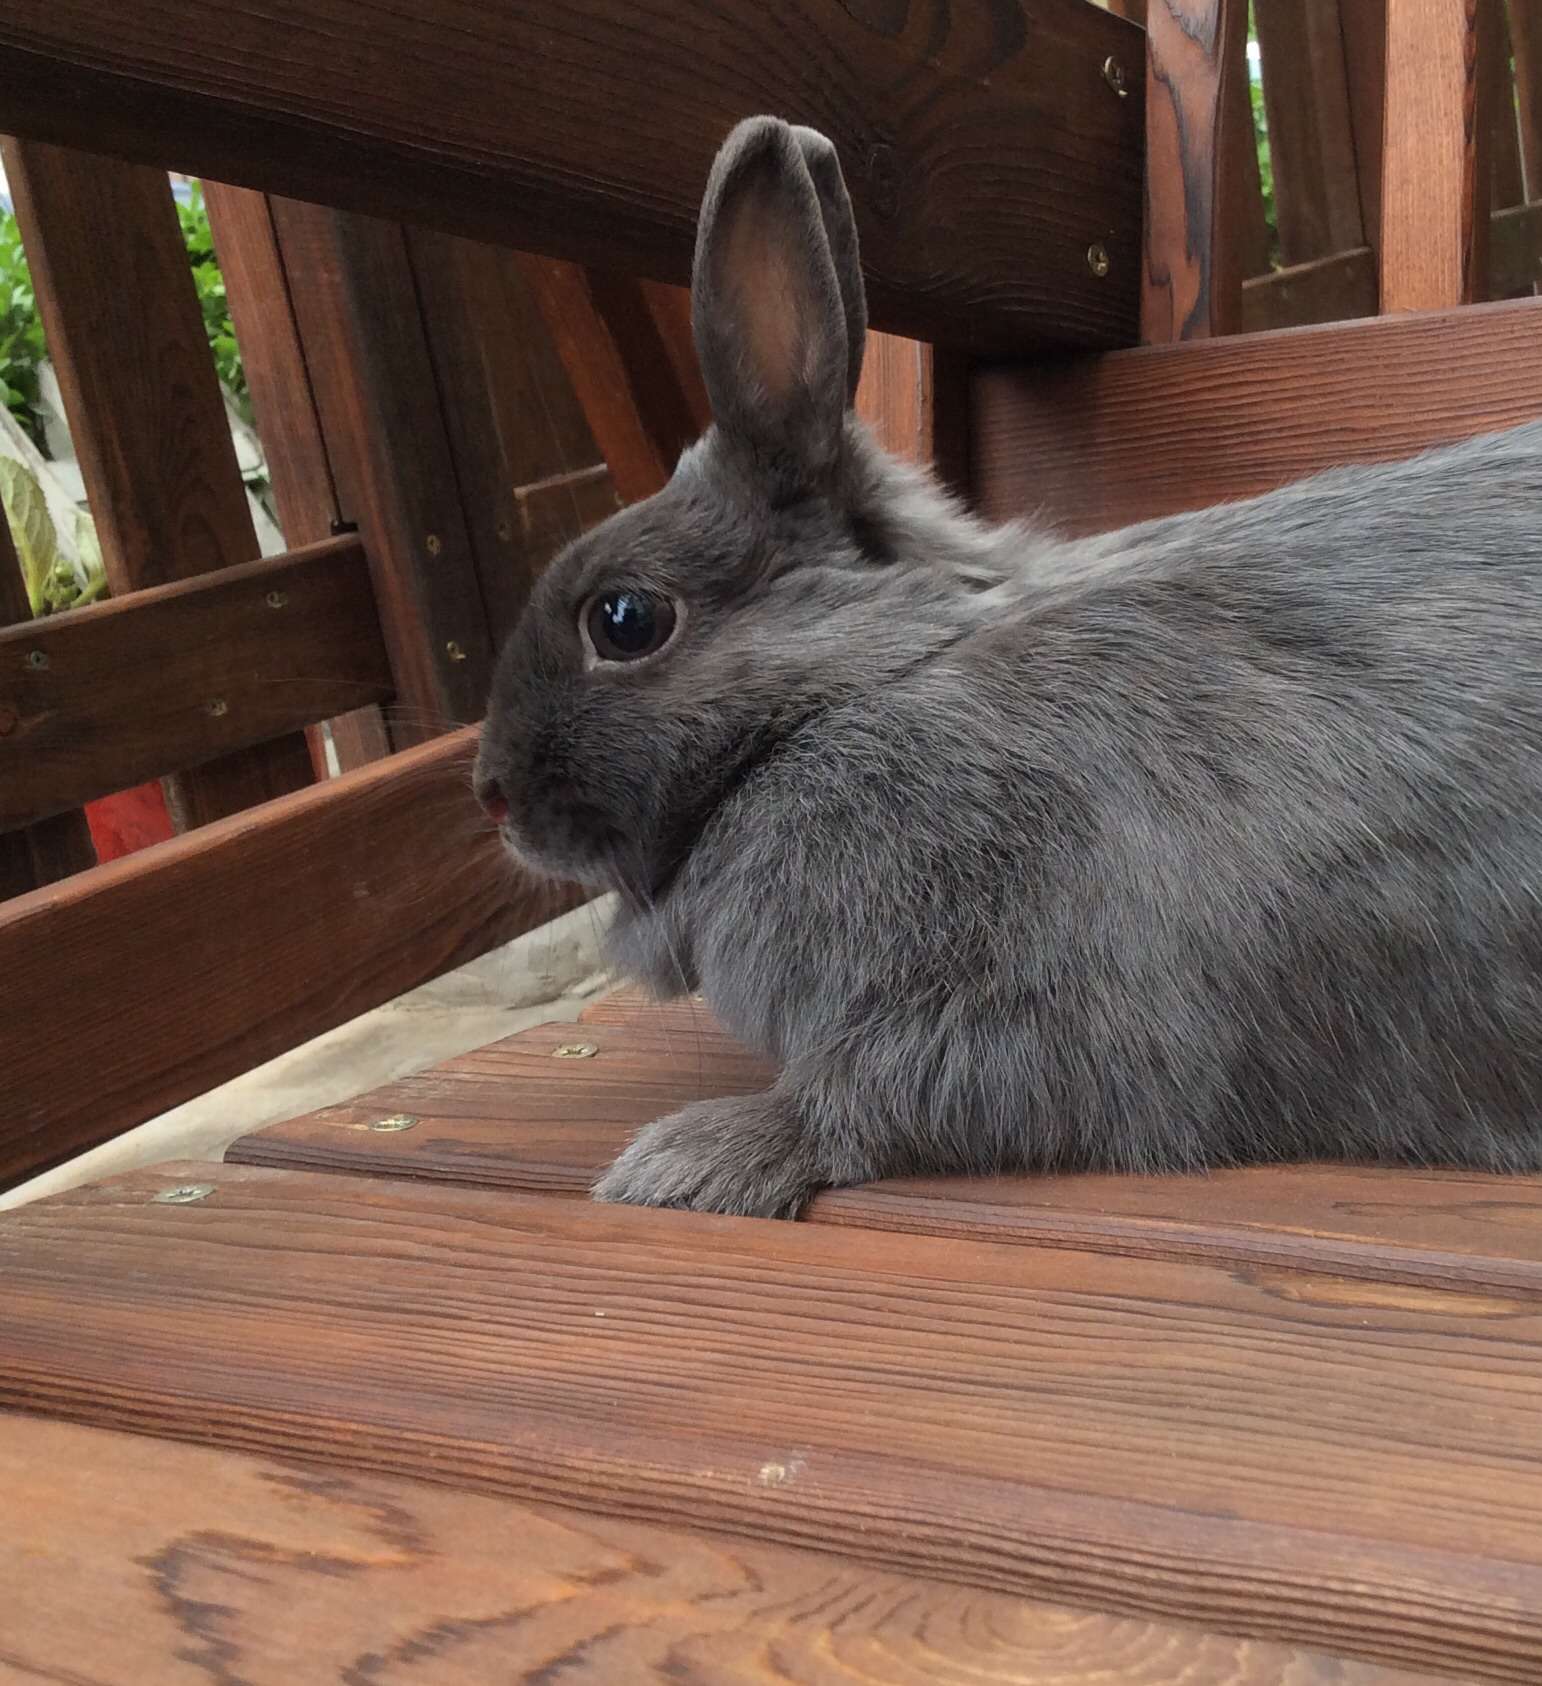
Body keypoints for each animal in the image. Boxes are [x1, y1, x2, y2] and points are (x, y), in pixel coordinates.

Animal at [475, 115, 1542, 1213]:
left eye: (625, 618)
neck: (867, 684)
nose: (492, 795)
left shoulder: (1006, 1002)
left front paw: (687, 1159)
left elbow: (868, 1097)